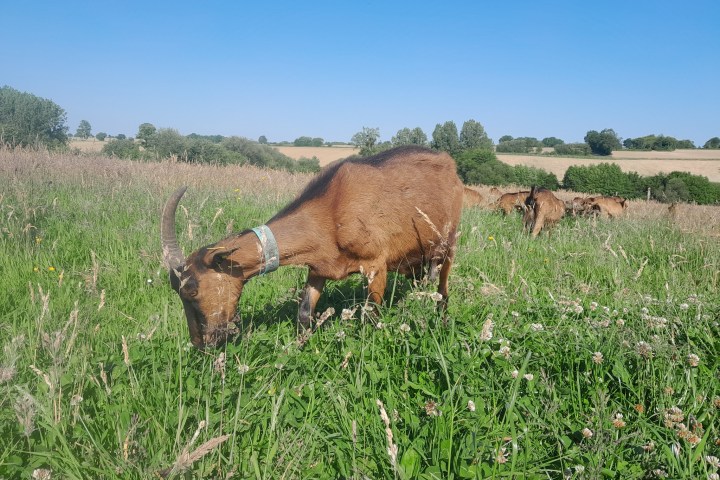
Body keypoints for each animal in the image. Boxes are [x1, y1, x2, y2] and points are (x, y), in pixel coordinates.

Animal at [160, 144, 464, 346]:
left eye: (191, 290)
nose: (201, 345)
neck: (329, 211)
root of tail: (452, 167)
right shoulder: (319, 268)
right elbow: (304, 313)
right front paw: (302, 347)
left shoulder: (376, 264)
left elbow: (370, 316)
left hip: (449, 241)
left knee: (444, 289)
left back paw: (442, 320)